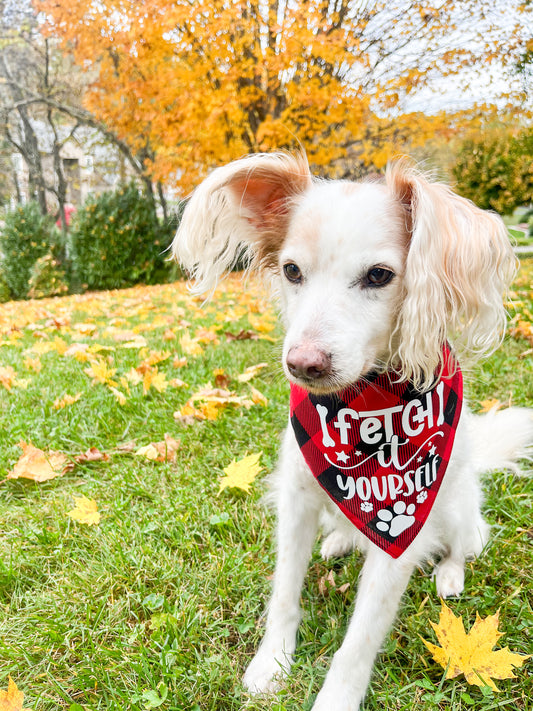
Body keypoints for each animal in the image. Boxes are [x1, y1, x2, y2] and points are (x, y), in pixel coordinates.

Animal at [172, 156, 528, 711]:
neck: (361, 408)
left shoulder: (402, 530)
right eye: (292, 271)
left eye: (379, 276)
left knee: (465, 542)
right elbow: (284, 593)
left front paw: (336, 697)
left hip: (455, 505)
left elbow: (360, 638)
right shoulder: (297, 496)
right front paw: (271, 662)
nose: (303, 364)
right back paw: (340, 539)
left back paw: (449, 573)